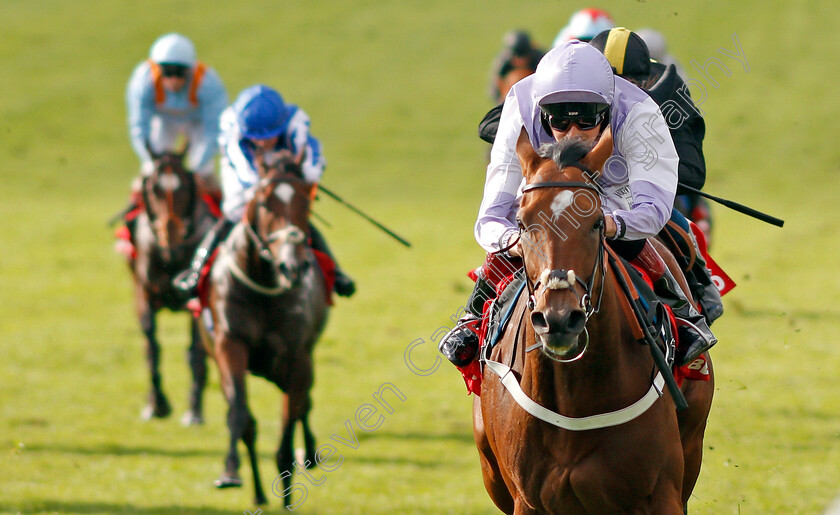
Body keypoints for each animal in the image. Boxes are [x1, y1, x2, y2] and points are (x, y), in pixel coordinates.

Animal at [130, 148, 215, 424]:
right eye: (152, 188)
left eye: (185, 187)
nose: (171, 234)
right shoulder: (143, 293)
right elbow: (151, 345)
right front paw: (156, 404)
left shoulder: (195, 301)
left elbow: (195, 353)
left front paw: (194, 410)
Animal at [203, 150, 332, 508]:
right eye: (263, 202)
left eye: (307, 201)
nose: (293, 266)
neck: (265, 288)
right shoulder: (229, 345)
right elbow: (240, 417)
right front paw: (230, 472)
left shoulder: (299, 358)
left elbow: (289, 429)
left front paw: (288, 500)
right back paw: (259, 493)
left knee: (305, 405)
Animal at [472, 131, 716, 512]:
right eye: (523, 223)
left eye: (597, 222)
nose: (558, 318)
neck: (576, 397)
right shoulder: (526, 500)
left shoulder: (661, 493)